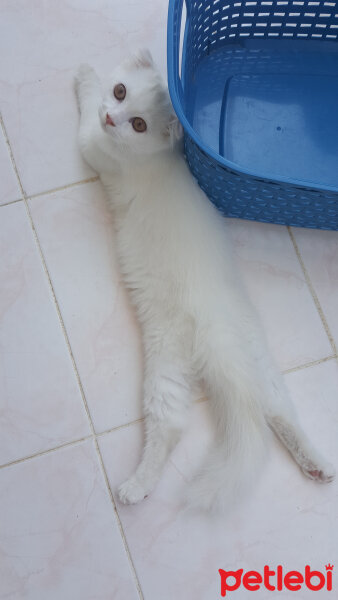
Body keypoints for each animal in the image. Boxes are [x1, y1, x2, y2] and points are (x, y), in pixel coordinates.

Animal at [74, 49, 336, 512]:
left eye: (137, 124)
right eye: (121, 92)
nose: (112, 117)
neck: (161, 157)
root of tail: (218, 333)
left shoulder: (93, 145)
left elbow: (86, 107)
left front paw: (85, 73)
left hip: (164, 363)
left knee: (170, 428)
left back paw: (135, 487)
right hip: (261, 366)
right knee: (279, 412)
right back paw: (318, 465)